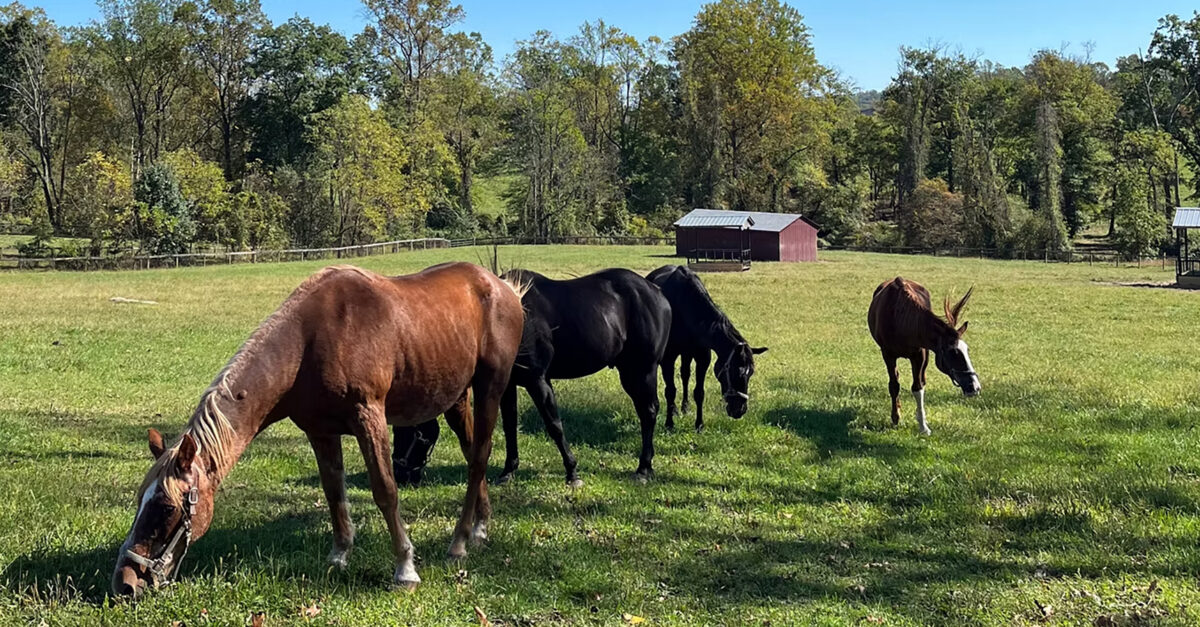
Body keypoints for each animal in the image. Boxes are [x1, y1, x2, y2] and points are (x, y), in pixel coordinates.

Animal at [112, 263, 525, 598]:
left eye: (166, 507)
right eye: (139, 500)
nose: (125, 583)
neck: (308, 342)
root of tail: (501, 286)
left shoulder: (368, 416)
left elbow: (385, 490)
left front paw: (405, 568)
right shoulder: (320, 431)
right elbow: (332, 490)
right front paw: (339, 555)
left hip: (490, 388)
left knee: (478, 459)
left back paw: (459, 542)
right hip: (457, 399)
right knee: (473, 455)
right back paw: (479, 529)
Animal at [392, 267, 671, 487]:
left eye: (413, 434)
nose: (400, 475)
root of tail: (656, 291)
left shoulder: (538, 380)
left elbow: (554, 425)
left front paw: (572, 472)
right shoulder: (507, 386)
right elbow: (509, 426)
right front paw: (508, 471)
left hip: (642, 371)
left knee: (649, 411)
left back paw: (643, 468)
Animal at [646, 265, 767, 432]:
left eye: (751, 373)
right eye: (735, 372)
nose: (739, 410)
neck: (685, 306)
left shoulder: (702, 358)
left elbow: (699, 392)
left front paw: (699, 424)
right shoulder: (667, 359)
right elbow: (670, 391)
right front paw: (669, 424)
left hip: (687, 353)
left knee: (685, 375)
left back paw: (684, 406)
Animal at [867, 277, 979, 435]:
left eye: (967, 350)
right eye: (953, 352)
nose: (975, 387)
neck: (900, 319)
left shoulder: (920, 354)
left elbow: (917, 386)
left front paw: (923, 426)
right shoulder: (887, 354)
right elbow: (894, 385)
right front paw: (896, 417)